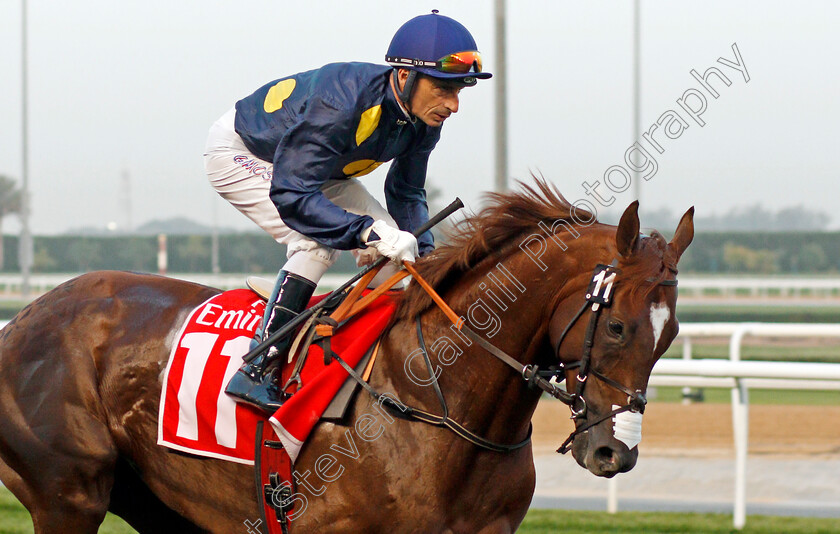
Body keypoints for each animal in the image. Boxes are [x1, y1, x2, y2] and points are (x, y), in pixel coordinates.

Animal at [0, 182, 692, 532]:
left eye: (671, 334)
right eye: (619, 328)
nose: (615, 452)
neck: (438, 401)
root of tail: (24, 318)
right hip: (68, 492)